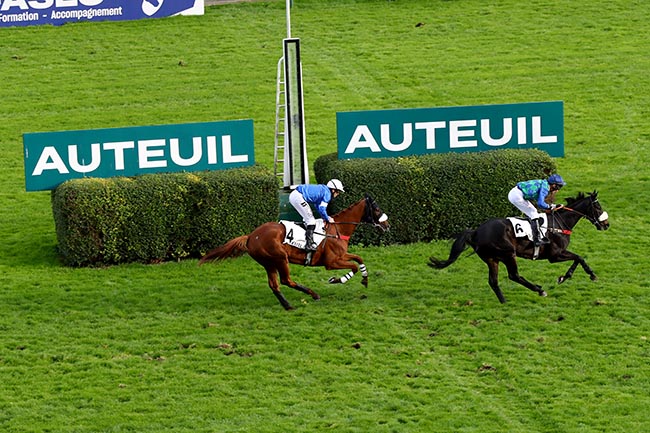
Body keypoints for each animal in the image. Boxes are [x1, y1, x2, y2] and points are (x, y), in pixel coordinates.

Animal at [197, 194, 390, 308]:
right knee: (286, 280)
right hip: (280, 258)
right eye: (377, 209)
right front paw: (336, 280)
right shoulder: (331, 262)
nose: (387, 225)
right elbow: (354, 266)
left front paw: (365, 280)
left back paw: (288, 305)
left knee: (274, 284)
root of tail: (251, 236)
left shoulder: (342, 255)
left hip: (268, 263)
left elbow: (359, 259)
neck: (338, 229)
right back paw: (312, 294)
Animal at [426, 191, 608, 302]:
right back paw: (539, 290)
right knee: (514, 275)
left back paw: (504, 301)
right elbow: (579, 257)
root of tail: (477, 231)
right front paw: (588, 275)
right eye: (598, 207)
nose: (607, 224)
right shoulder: (555, 255)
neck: (559, 223)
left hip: (492, 258)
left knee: (493, 281)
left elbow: (577, 258)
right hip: (508, 254)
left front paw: (564, 277)